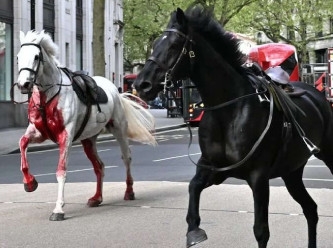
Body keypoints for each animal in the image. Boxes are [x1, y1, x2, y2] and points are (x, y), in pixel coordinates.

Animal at [15, 30, 156, 222]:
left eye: (36, 56)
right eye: (18, 57)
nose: (23, 84)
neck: (48, 96)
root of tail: (115, 90)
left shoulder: (65, 136)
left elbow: (61, 171)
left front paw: (58, 209)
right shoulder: (38, 133)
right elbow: (22, 144)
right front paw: (30, 183)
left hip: (119, 129)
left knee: (126, 158)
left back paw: (129, 192)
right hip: (88, 139)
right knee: (99, 166)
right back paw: (97, 198)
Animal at [134, 5, 332, 248]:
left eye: (173, 45)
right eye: (154, 44)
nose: (141, 84)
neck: (228, 111)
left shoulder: (258, 177)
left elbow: (261, 231)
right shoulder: (213, 169)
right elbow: (193, 190)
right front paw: (194, 230)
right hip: (292, 171)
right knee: (310, 209)